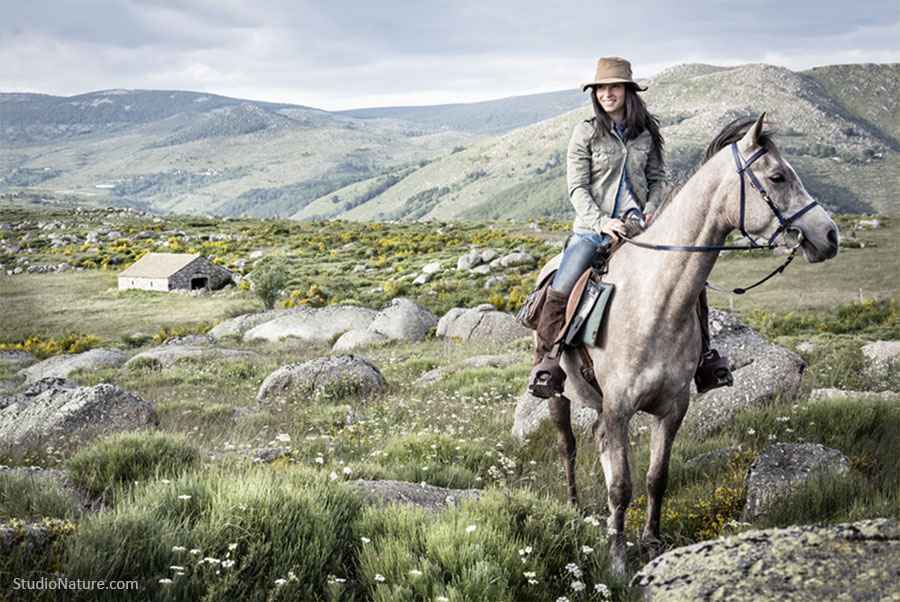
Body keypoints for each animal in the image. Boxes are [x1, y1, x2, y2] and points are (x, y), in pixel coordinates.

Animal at [536, 110, 836, 576]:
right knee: (567, 446)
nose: (830, 235)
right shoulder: (619, 407)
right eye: (778, 176)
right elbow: (621, 486)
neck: (655, 301)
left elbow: (655, 479)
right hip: (558, 394)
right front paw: (617, 562)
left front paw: (651, 545)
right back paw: (572, 506)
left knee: (597, 441)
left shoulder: (672, 408)